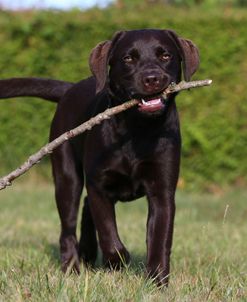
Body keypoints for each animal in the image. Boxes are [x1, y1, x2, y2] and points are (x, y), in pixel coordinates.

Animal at [0, 29, 199, 286]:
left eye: (165, 55)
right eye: (128, 58)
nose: (152, 78)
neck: (136, 130)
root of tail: (70, 88)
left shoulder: (162, 191)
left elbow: (160, 239)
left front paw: (156, 281)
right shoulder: (99, 186)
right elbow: (108, 234)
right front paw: (118, 261)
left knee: (85, 210)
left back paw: (87, 252)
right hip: (67, 177)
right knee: (68, 227)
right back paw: (72, 266)